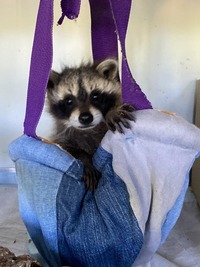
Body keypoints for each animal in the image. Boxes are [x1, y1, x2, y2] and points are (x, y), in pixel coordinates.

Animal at [46, 59, 134, 192]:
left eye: (95, 96)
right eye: (69, 101)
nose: (85, 118)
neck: (89, 130)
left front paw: (111, 113)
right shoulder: (61, 137)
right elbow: (68, 149)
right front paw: (85, 160)